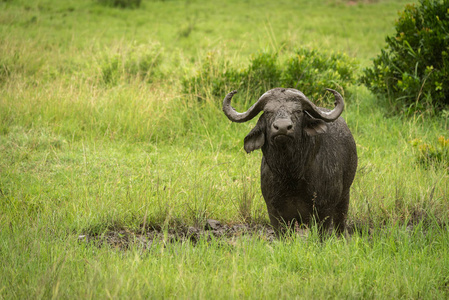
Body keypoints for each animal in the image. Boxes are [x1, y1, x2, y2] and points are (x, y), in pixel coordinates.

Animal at [224, 87, 356, 234]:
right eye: (268, 112)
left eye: (297, 111)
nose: (282, 127)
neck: (291, 173)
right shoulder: (274, 211)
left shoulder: (324, 209)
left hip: (344, 197)